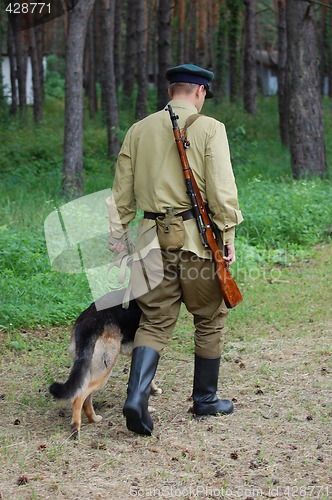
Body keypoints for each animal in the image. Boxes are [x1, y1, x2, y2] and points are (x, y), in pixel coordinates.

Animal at [49, 290, 161, 438]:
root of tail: (89, 323)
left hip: (90, 369)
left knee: (86, 397)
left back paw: (93, 419)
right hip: (104, 370)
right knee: (79, 397)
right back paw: (76, 428)